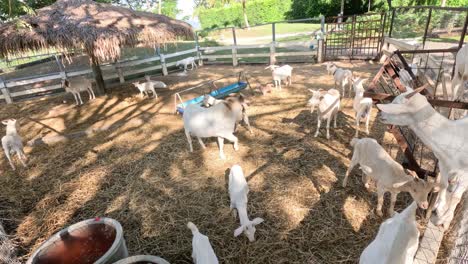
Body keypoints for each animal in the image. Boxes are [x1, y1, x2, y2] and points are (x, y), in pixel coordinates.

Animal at [376, 87, 468, 228]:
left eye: (396, 105)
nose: (380, 115)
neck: (453, 139)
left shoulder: (465, 174)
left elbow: (456, 198)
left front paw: (444, 220)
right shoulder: (443, 164)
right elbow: (443, 185)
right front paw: (439, 207)